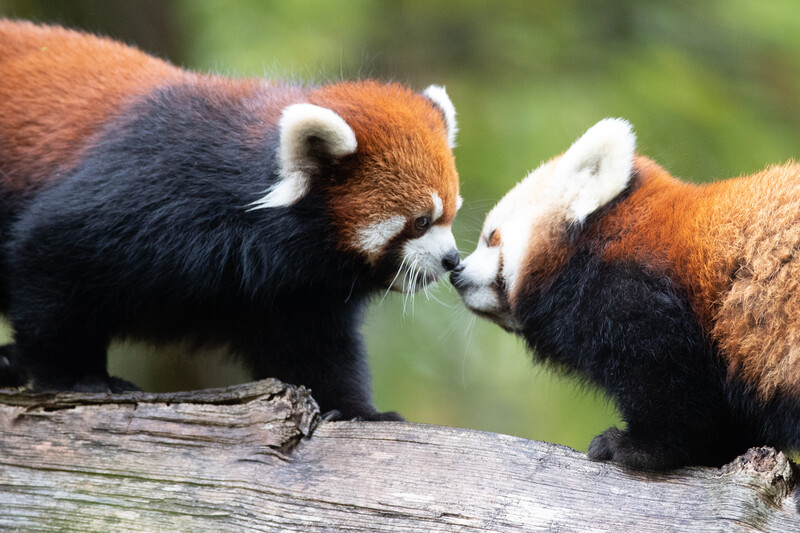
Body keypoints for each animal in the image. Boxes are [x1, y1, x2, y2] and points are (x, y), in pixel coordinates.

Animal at [0, 19, 462, 421]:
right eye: (421, 221)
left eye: (451, 215)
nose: (452, 261)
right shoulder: (140, 192)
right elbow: (48, 259)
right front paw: (80, 377)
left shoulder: (294, 292)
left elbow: (315, 350)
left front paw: (354, 411)